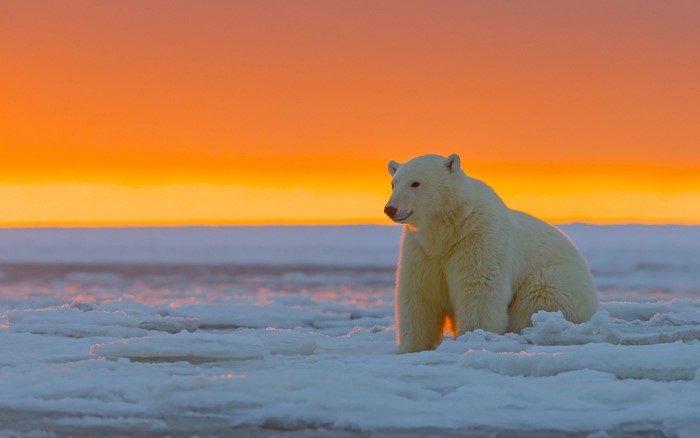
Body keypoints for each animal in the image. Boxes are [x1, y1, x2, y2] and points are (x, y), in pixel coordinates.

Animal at [384, 153, 598, 353]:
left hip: (560, 282)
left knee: (540, 294)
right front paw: (411, 348)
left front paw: (473, 336)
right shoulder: (422, 250)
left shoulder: (478, 238)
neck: (449, 231)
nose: (390, 209)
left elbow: (479, 290)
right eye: (393, 184)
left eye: (416, 183)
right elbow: (419, 295)